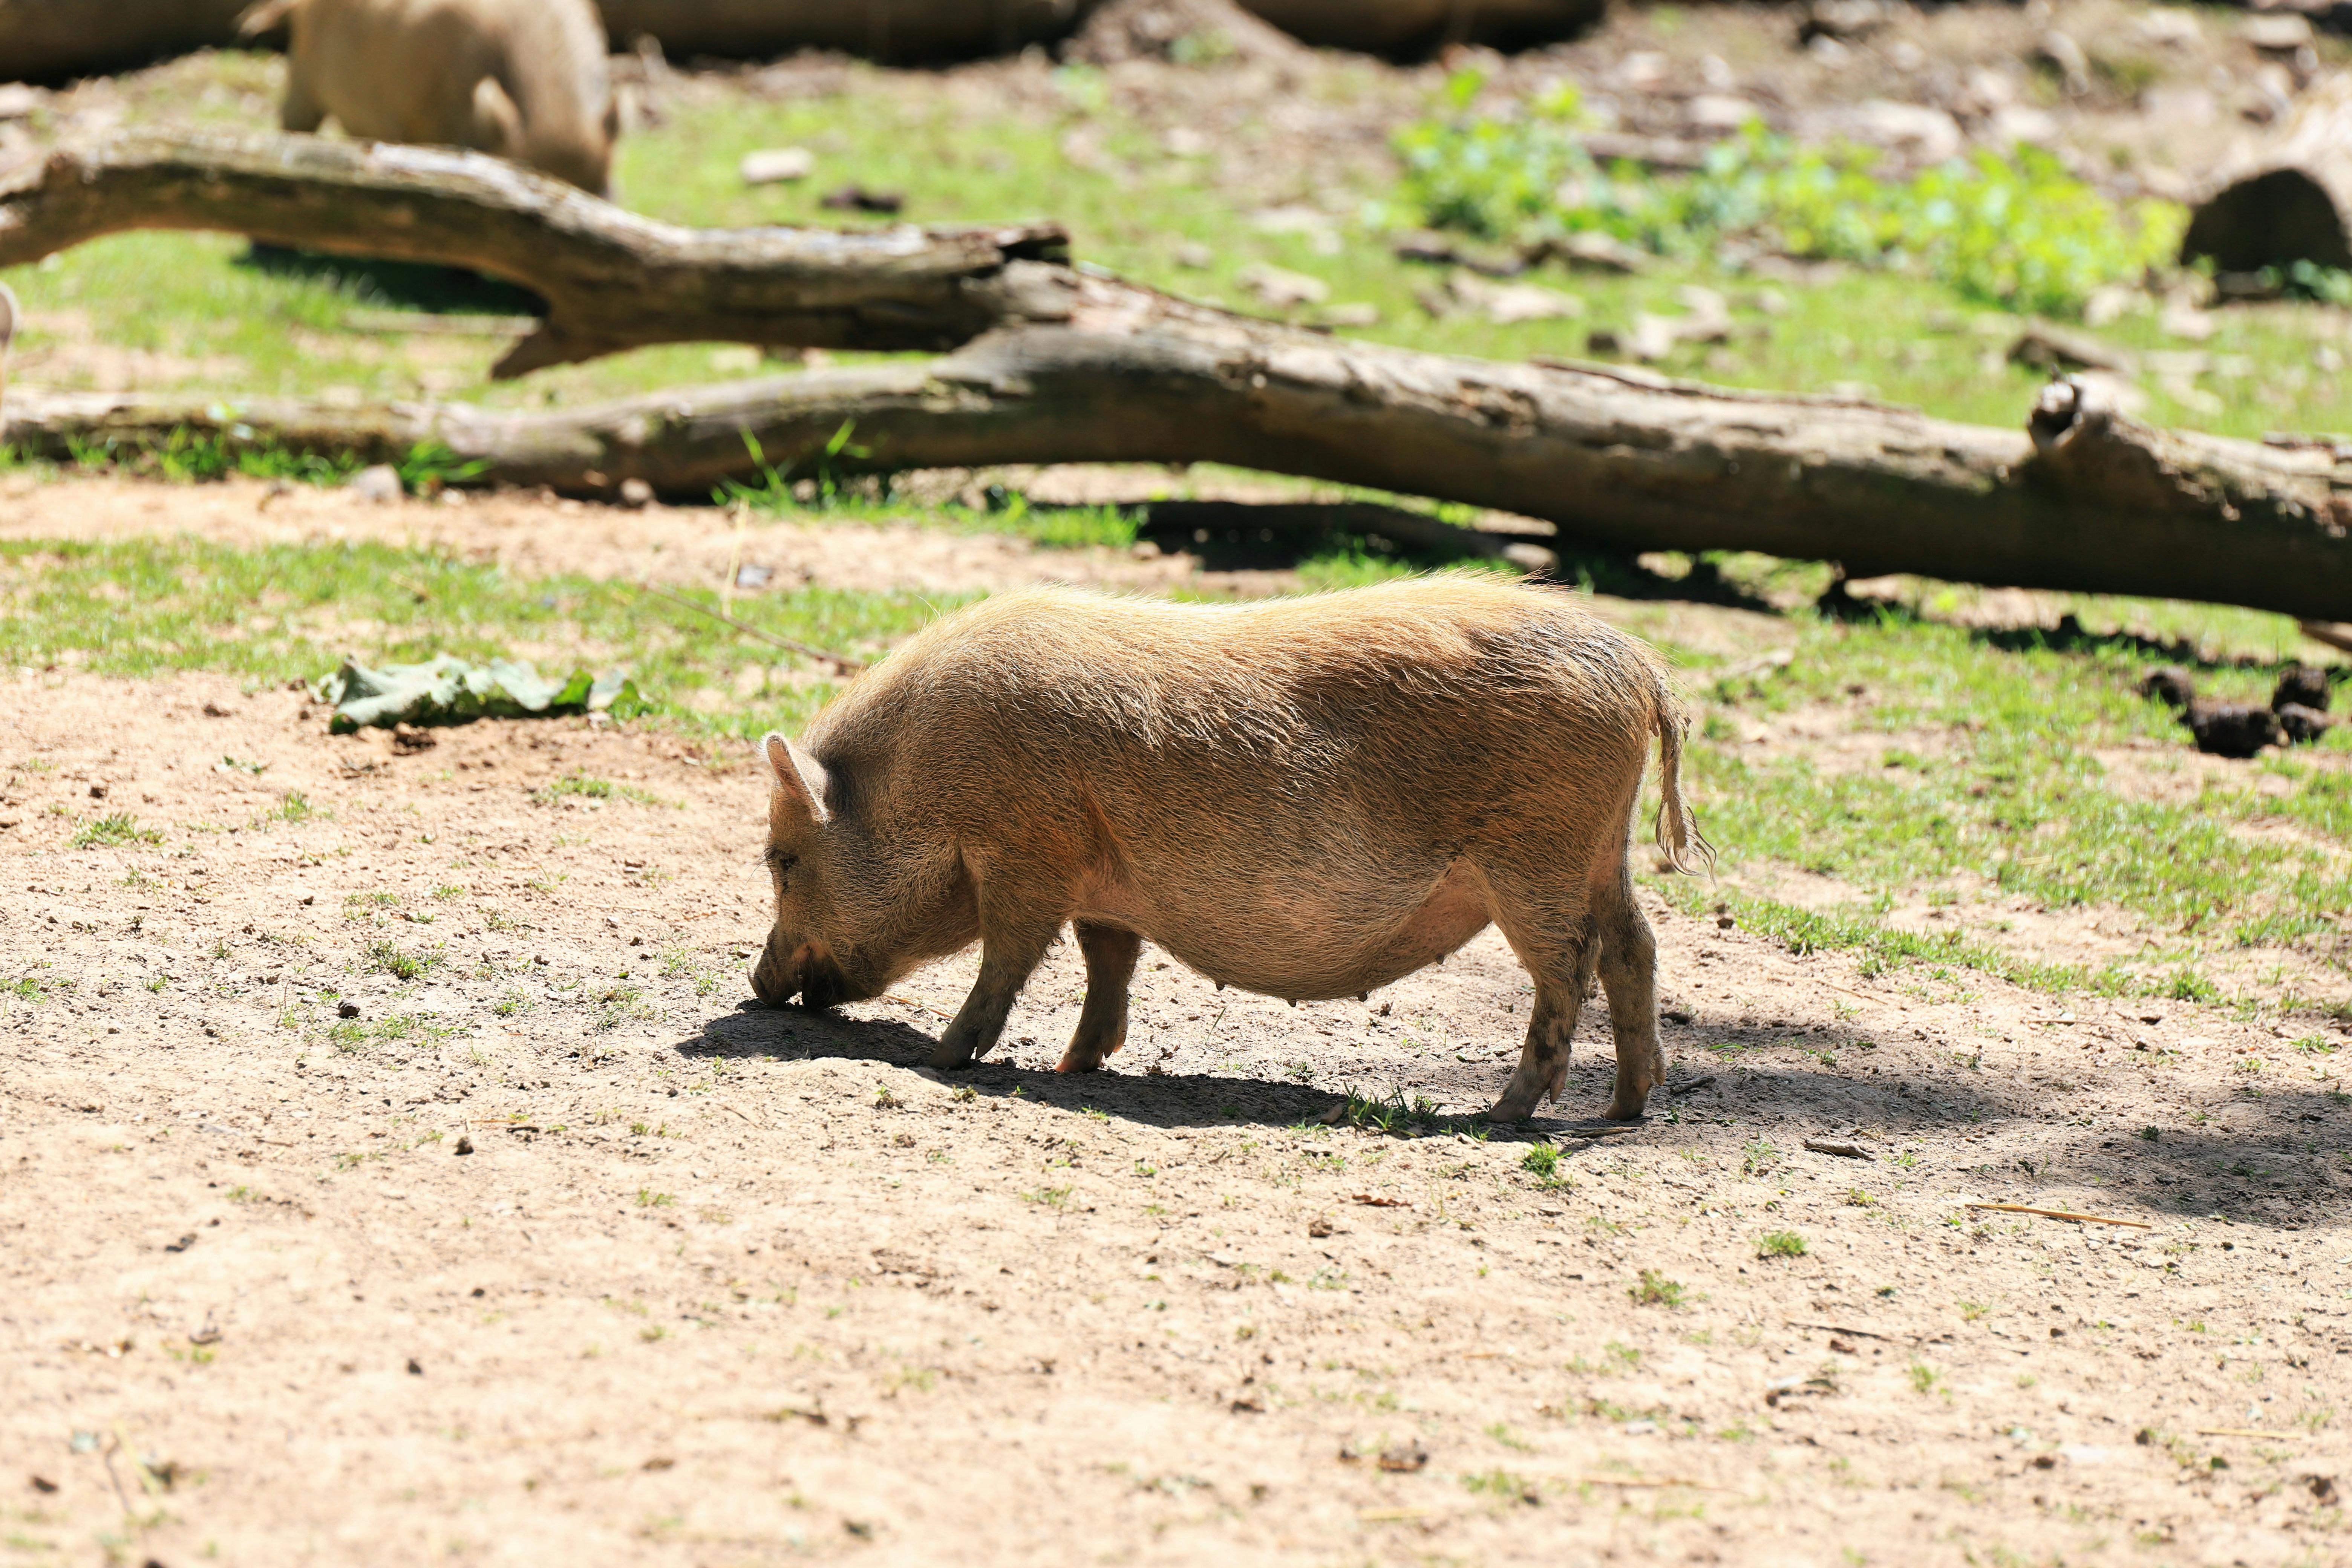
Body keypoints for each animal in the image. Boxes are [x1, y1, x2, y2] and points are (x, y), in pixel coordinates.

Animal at [752, 583, 1712, 1124]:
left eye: (782, 860)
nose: (757, 984)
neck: (921, 782)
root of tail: (1640, 668)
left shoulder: (1027, 853)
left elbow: (1008, 960)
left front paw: (941, 1058)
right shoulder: (1100, 876)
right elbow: (1109, 962)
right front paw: (1075, 1065)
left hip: (1536, 857)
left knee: (1569, 966)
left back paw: (1497, 1115)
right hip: (1603, 849)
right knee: (1635, 949)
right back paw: (1624, 1108)